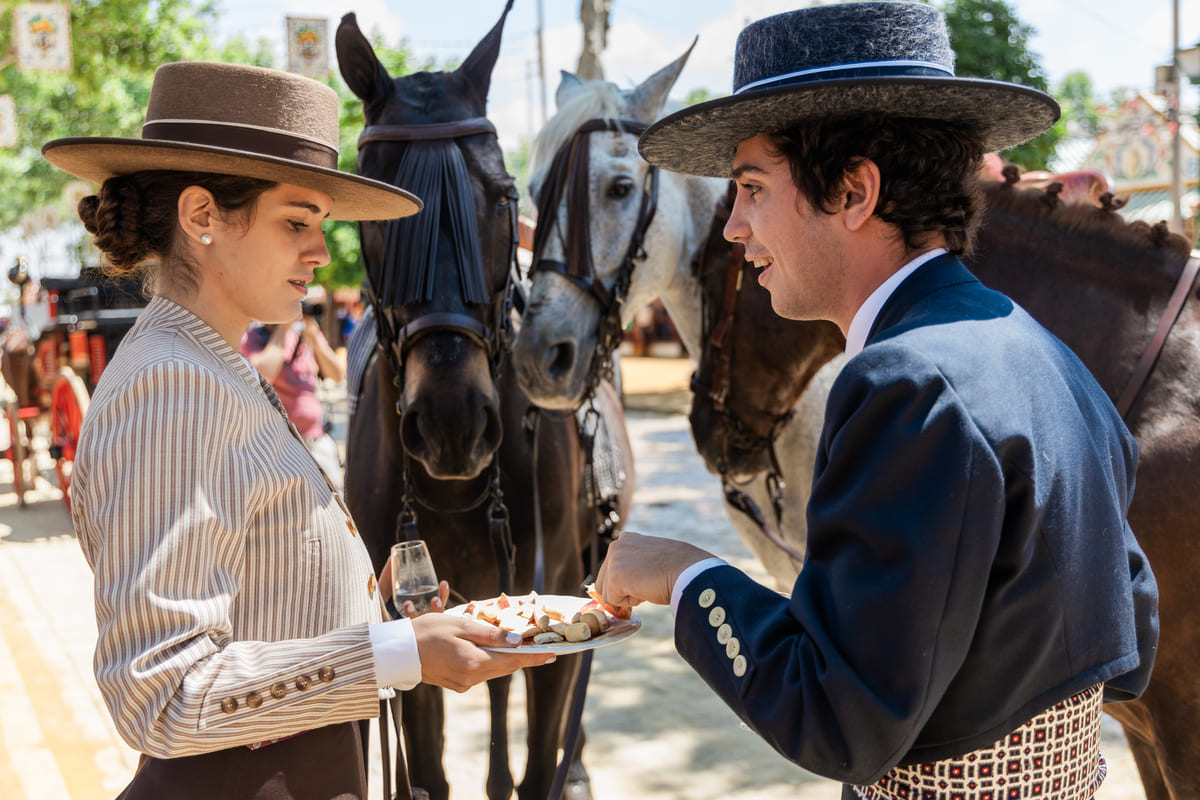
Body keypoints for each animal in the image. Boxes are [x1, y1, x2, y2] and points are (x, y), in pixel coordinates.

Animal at [338, 4, 600, 796]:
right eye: (377, 215)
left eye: (506, 196)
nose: (453, 423)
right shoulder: (418, 618)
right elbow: (427, 767)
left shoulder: (556, 587)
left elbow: (541, 750)